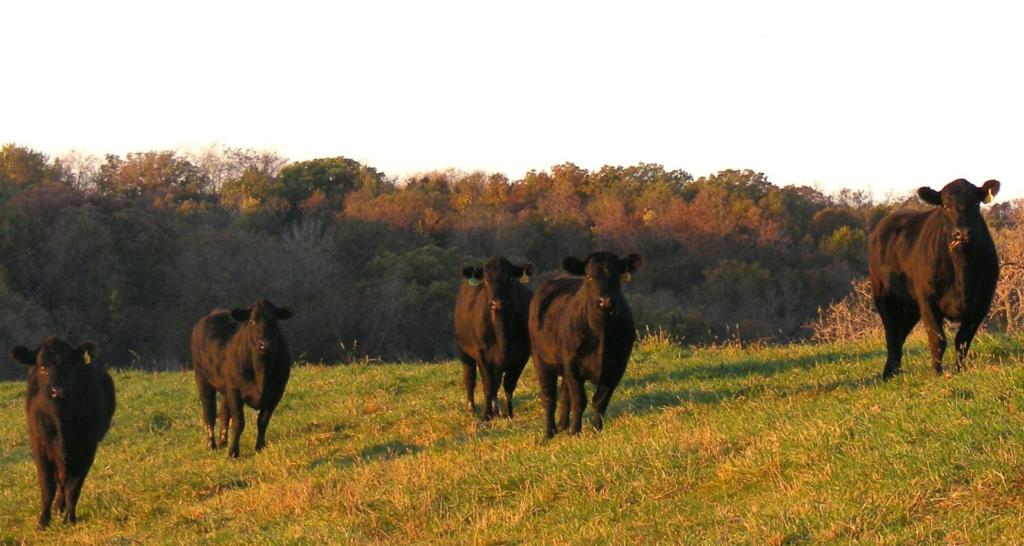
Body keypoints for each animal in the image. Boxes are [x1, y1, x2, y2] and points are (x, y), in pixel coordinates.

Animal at [10, 336, 116, 528]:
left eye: (69, 366)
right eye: (42, 366)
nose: (57, 391)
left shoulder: (87, 447)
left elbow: (73, 486)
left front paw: (70, 519)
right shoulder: (39, 445)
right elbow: (47, 485)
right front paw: (43, 521)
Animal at [190, 301, 294, 456]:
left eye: (275, 320)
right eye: (251, 321)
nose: (265, 344)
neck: (261, 372)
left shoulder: (276, 393)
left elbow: (263, 421)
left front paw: (260, 446)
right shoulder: (235, 391)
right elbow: (238, 422)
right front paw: (233, 452)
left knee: (224, 410)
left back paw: (223, 442)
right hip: (202, 378)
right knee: (209, 412)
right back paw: (211, 445)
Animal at [456, 257, 536, 420]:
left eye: (510, 279)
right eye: (486, 280)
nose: (497, 303)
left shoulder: (522, 355)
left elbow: (509, 385)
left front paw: (508, 413)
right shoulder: (481, 353)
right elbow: (488, 384)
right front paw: (486, 415)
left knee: (497, 381)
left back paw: (496, 409)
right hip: (464, 351)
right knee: (470, 378)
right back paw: (471, 408)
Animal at [528, 248, 638, 436]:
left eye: (617, 274)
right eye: (588, 275)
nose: (605, 301)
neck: (602, 334)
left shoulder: (617, 367)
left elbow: (600, 401)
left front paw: (596, 429)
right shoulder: (572, 364)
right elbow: (579, 399)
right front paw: (575, 431)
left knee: (565, 395)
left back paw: (562, 426)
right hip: (540, 358)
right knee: (549, 397)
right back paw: (550, 432)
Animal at [868, 179, 1003, 379]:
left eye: (976, 203)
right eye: (945, 205)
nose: (962, 234)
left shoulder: (981, 304)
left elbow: (962, 341)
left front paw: (960, 370)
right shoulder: (928, 300)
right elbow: (938, 339)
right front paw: (937, 373)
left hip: (910, 306)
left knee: (900, 335)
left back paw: (896, 370)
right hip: (884, 296)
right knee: (892, 334)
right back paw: (889, 373)